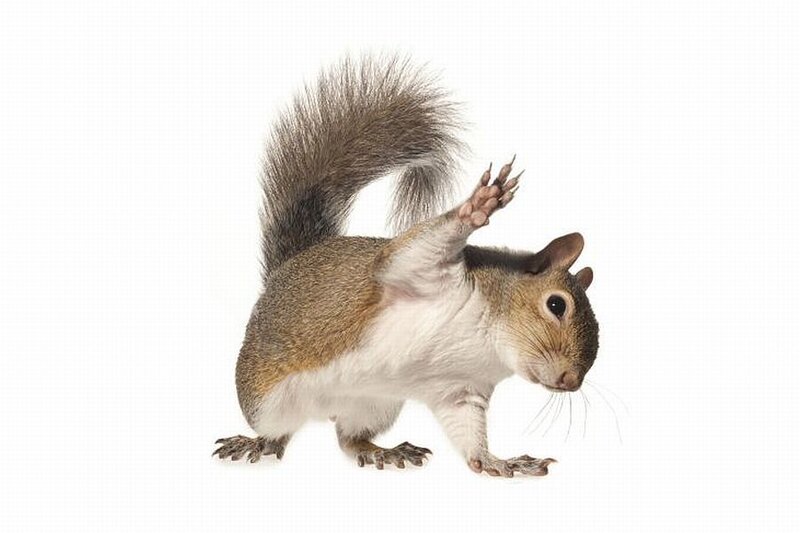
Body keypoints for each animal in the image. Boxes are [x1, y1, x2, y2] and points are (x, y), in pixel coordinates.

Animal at [213, 55, 599, 477]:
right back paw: (258, 442)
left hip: (372, 405)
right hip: (265, 395)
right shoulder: (414, 270)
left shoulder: (461, 389)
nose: (571, 381)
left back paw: (381, 451)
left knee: (348, 439)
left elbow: (468, 434)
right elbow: (418, 247)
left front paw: (497, 461)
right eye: (556, 304)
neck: (487, 339)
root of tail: (287, 269)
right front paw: (478, 206)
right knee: (278, 432)